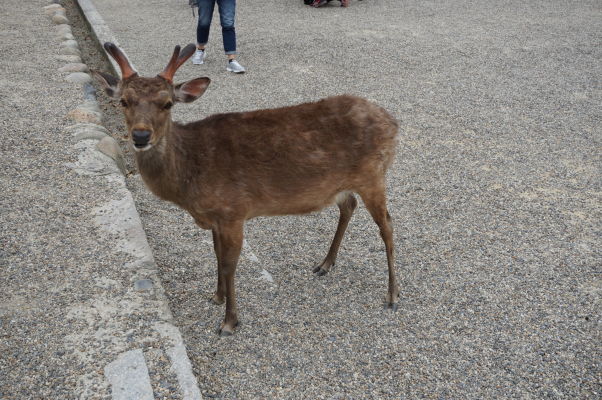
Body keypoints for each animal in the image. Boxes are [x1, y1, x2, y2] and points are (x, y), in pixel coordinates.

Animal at [92, 42, 398, 336]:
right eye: (124, 101)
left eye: (167, 103)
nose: (141, 136)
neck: (190, 180)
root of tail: (393, 123)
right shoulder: (216, 218)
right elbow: (216, 255)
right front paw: (216, 296)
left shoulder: (233, 211)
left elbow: (230, 265)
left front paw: (229, 322)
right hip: (343, 183)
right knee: (349, 205)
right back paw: (325, 264)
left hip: (373, 176)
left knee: (387, 225)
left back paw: (392, 295)